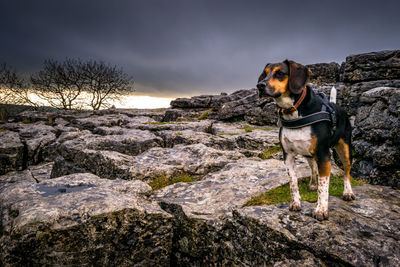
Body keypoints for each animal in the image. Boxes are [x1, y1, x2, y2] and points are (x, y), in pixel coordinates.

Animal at [256, 60, 354, 222]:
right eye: (264, 74)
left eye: (280, 73)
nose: (260, 85)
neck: (292, 112)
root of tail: (336, 105)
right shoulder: (288, 155)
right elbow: (293, 182)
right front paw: (295, 202)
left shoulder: (323, 155)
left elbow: (323, 186)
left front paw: (321, 210)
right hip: (308, 154)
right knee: (313, 168)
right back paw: (313, 184)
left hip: (344, 149)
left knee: (346, 171)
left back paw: (348, 192)